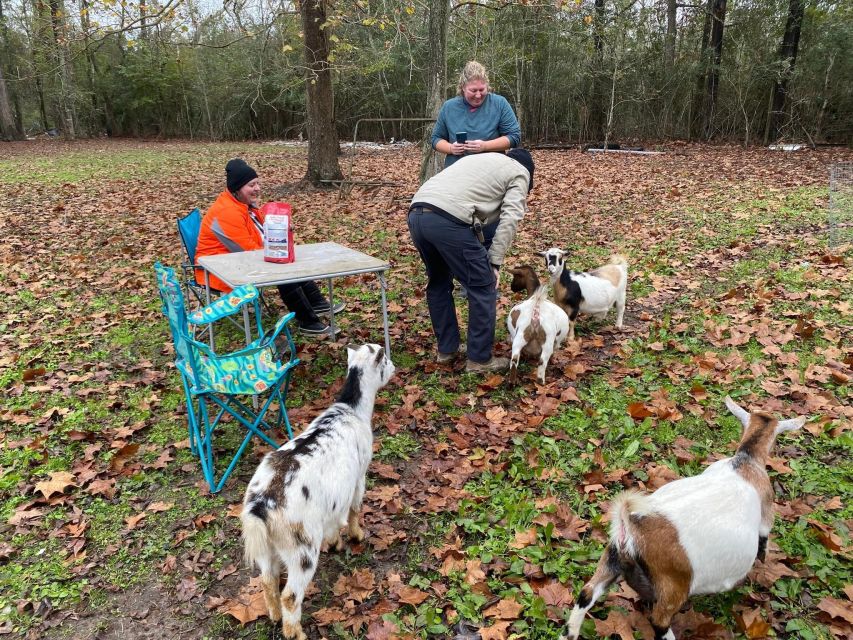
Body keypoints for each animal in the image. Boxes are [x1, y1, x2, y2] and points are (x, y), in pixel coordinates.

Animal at [240, 344, 396, 640]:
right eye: (385, 360)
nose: (394, 368)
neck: (351, 409)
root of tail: (261, 506)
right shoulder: (358, 477)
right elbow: (355, 508)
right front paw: (356, 536)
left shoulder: (334, 497)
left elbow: (334, 521)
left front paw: (335, 543)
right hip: (301, 548)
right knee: (291, 595)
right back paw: (296, 633)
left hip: (267, 547)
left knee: (267, 580)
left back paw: (274, 615)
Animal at [564, 396, 804, 640]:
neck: (745, 461)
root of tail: (632, 527)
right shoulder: (766, 512)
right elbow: (764, 537)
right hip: (673, 584)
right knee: (659, 620)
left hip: (611, 559)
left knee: (586, 594)